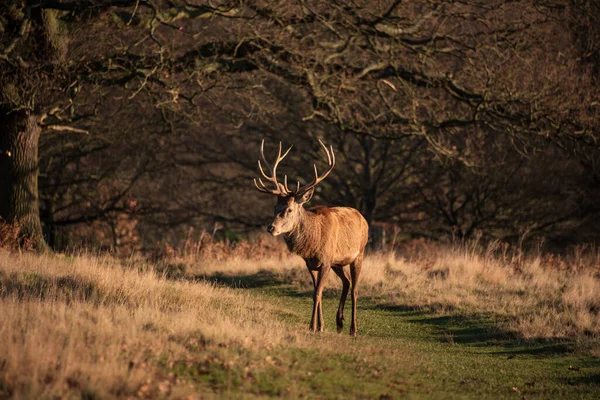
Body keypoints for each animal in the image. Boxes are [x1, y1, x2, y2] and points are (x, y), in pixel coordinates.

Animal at [252, 139, 368, 336]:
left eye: (289, 209)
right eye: (275, 208)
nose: (271, 227)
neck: (312, 243)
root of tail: (363, 218)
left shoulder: (326, 260)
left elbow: (319, 292)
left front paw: (315, 326)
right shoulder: (311, 263)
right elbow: (315, 292)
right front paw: (318, 325)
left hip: (359, 253)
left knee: (355, 289)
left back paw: (353, 329)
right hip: (338, 262)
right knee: (346, 282)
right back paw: (339, 323)